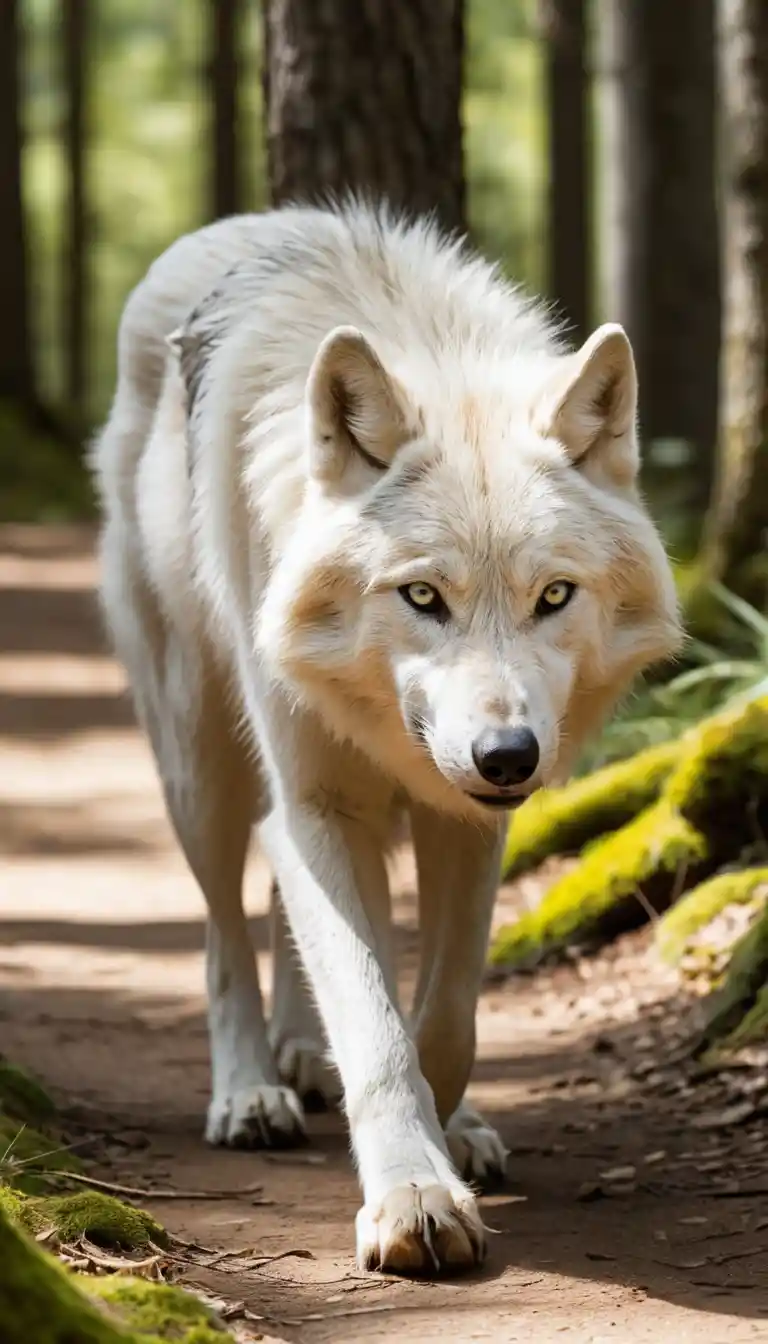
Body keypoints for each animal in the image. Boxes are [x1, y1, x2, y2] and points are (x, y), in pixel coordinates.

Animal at [92, 200, 681, 1276]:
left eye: (554, 596)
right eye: (421, 596)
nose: (508, 756)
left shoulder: (468, 820)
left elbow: (441, 1016)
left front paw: (450, 1128)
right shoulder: (318, 800)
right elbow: (377, 1027)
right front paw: (413, 1194)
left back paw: (311, 1057)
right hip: (200, 759)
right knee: (222, 929)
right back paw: (250, 1088)